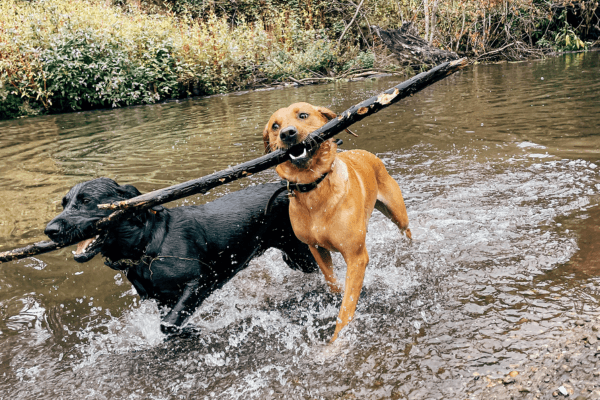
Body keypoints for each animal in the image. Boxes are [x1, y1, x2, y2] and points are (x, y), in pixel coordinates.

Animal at [44, 180, 316, 332]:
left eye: (86, 200)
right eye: (65, 203)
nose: (49, 231)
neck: (147, 246)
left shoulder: (200, 281)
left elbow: (168, 323)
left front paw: (189, 330)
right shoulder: (162, 299)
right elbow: (167, 321)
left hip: (301, 256)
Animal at [264, 102, 412, 340]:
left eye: (303, 115)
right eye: (275, 126)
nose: (287, 133)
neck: (315, 188)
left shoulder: (356, 257)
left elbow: (346, 310)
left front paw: (337, 342)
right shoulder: (315, 248)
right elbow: (332, 282)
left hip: (397, 213)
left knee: (406, 230)